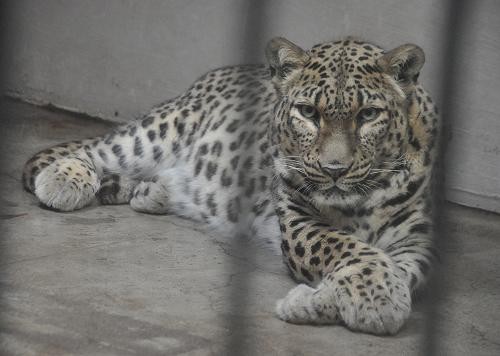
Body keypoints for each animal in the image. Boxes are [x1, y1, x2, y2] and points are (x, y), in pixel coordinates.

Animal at [23, 37, 438, 336]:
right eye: (308, 113)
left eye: (368, 115)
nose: (334, 170)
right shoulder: (299, 220)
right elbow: (350, 247)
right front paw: (377, 299)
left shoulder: (415, 238)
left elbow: (406, 272)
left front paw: (317, 301)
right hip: (162, 130)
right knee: (86, 151)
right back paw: (63, 179)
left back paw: (153, 193)